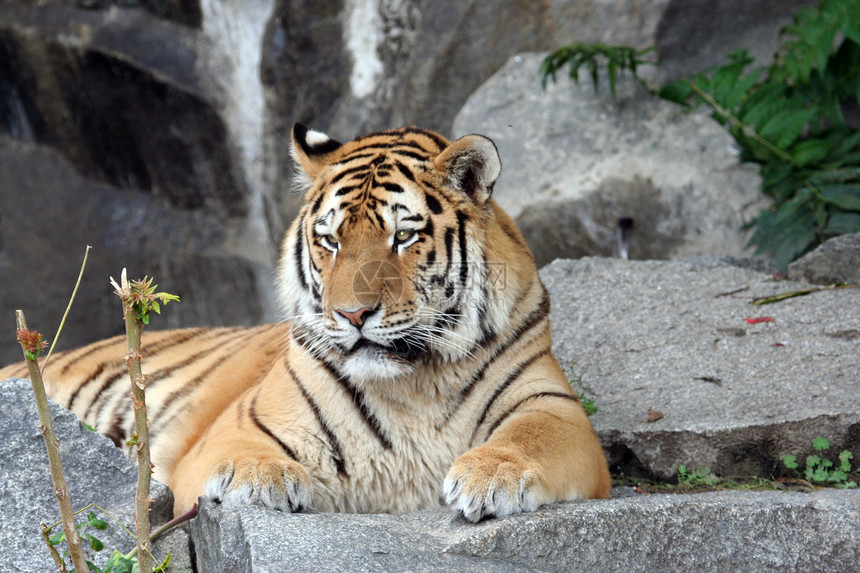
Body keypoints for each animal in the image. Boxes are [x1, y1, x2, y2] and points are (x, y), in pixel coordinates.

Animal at [0, 124, 612, 520]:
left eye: (404, 236)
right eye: (331, 240)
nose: (353, 314)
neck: (414, 381)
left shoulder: (555, 410)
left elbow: (529, 436)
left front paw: (492, 476)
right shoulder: (239, 427)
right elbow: (239, 453)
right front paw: (256, 479)